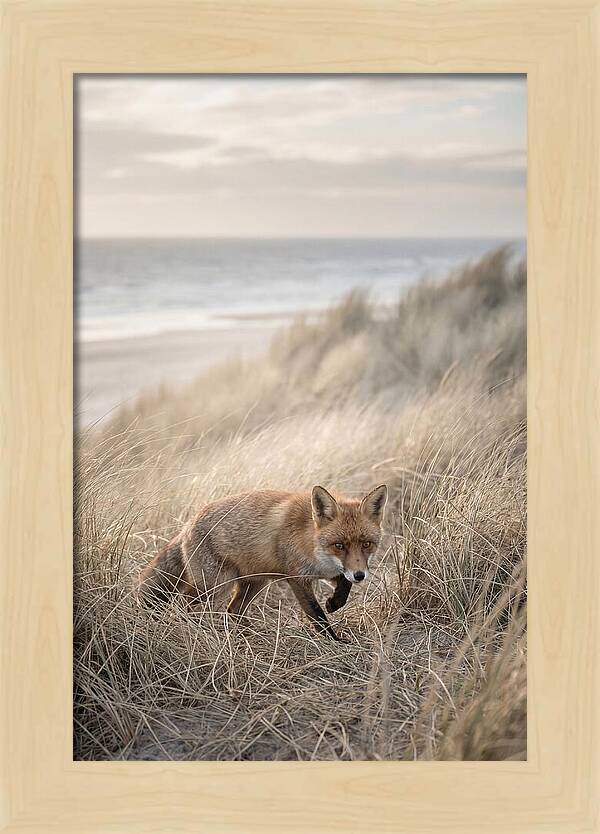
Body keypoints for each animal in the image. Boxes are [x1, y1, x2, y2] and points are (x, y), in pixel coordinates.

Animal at [137, 483, 388, 641]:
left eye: (366, 544)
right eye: (339, 545)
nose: (360, 576)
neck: (312, 543)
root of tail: (187, 525)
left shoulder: (332, 571)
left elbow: (343, 586)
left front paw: (334, 603)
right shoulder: (297, 578)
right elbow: (316, 615)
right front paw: (335, 641)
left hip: (254, 582)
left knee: (233, 610)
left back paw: (250, 634)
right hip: (215, 586)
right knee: (185, 604)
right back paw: (195, 629)